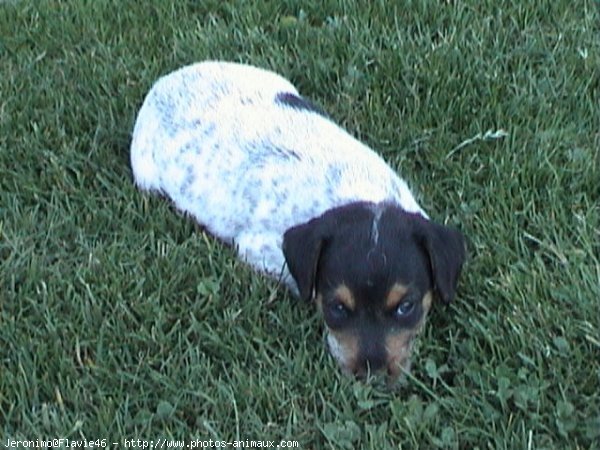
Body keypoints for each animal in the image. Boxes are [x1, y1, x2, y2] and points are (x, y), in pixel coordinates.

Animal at [131, 60, 466, 380]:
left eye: (406, 307)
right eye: (337, 308)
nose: (373, 376)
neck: (357, 193)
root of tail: (163, 82)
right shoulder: (257, 248)